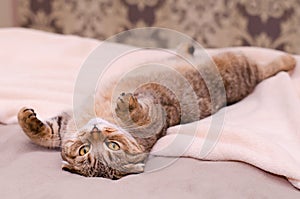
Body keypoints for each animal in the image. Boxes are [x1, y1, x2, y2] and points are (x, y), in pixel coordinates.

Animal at [17, 45, 296, 179]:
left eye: (113, 146)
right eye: (85, 151)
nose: (94, 132)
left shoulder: (157, 107)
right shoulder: (66, 126)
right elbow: (46, 133)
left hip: (237, 64)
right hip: (237, 63)